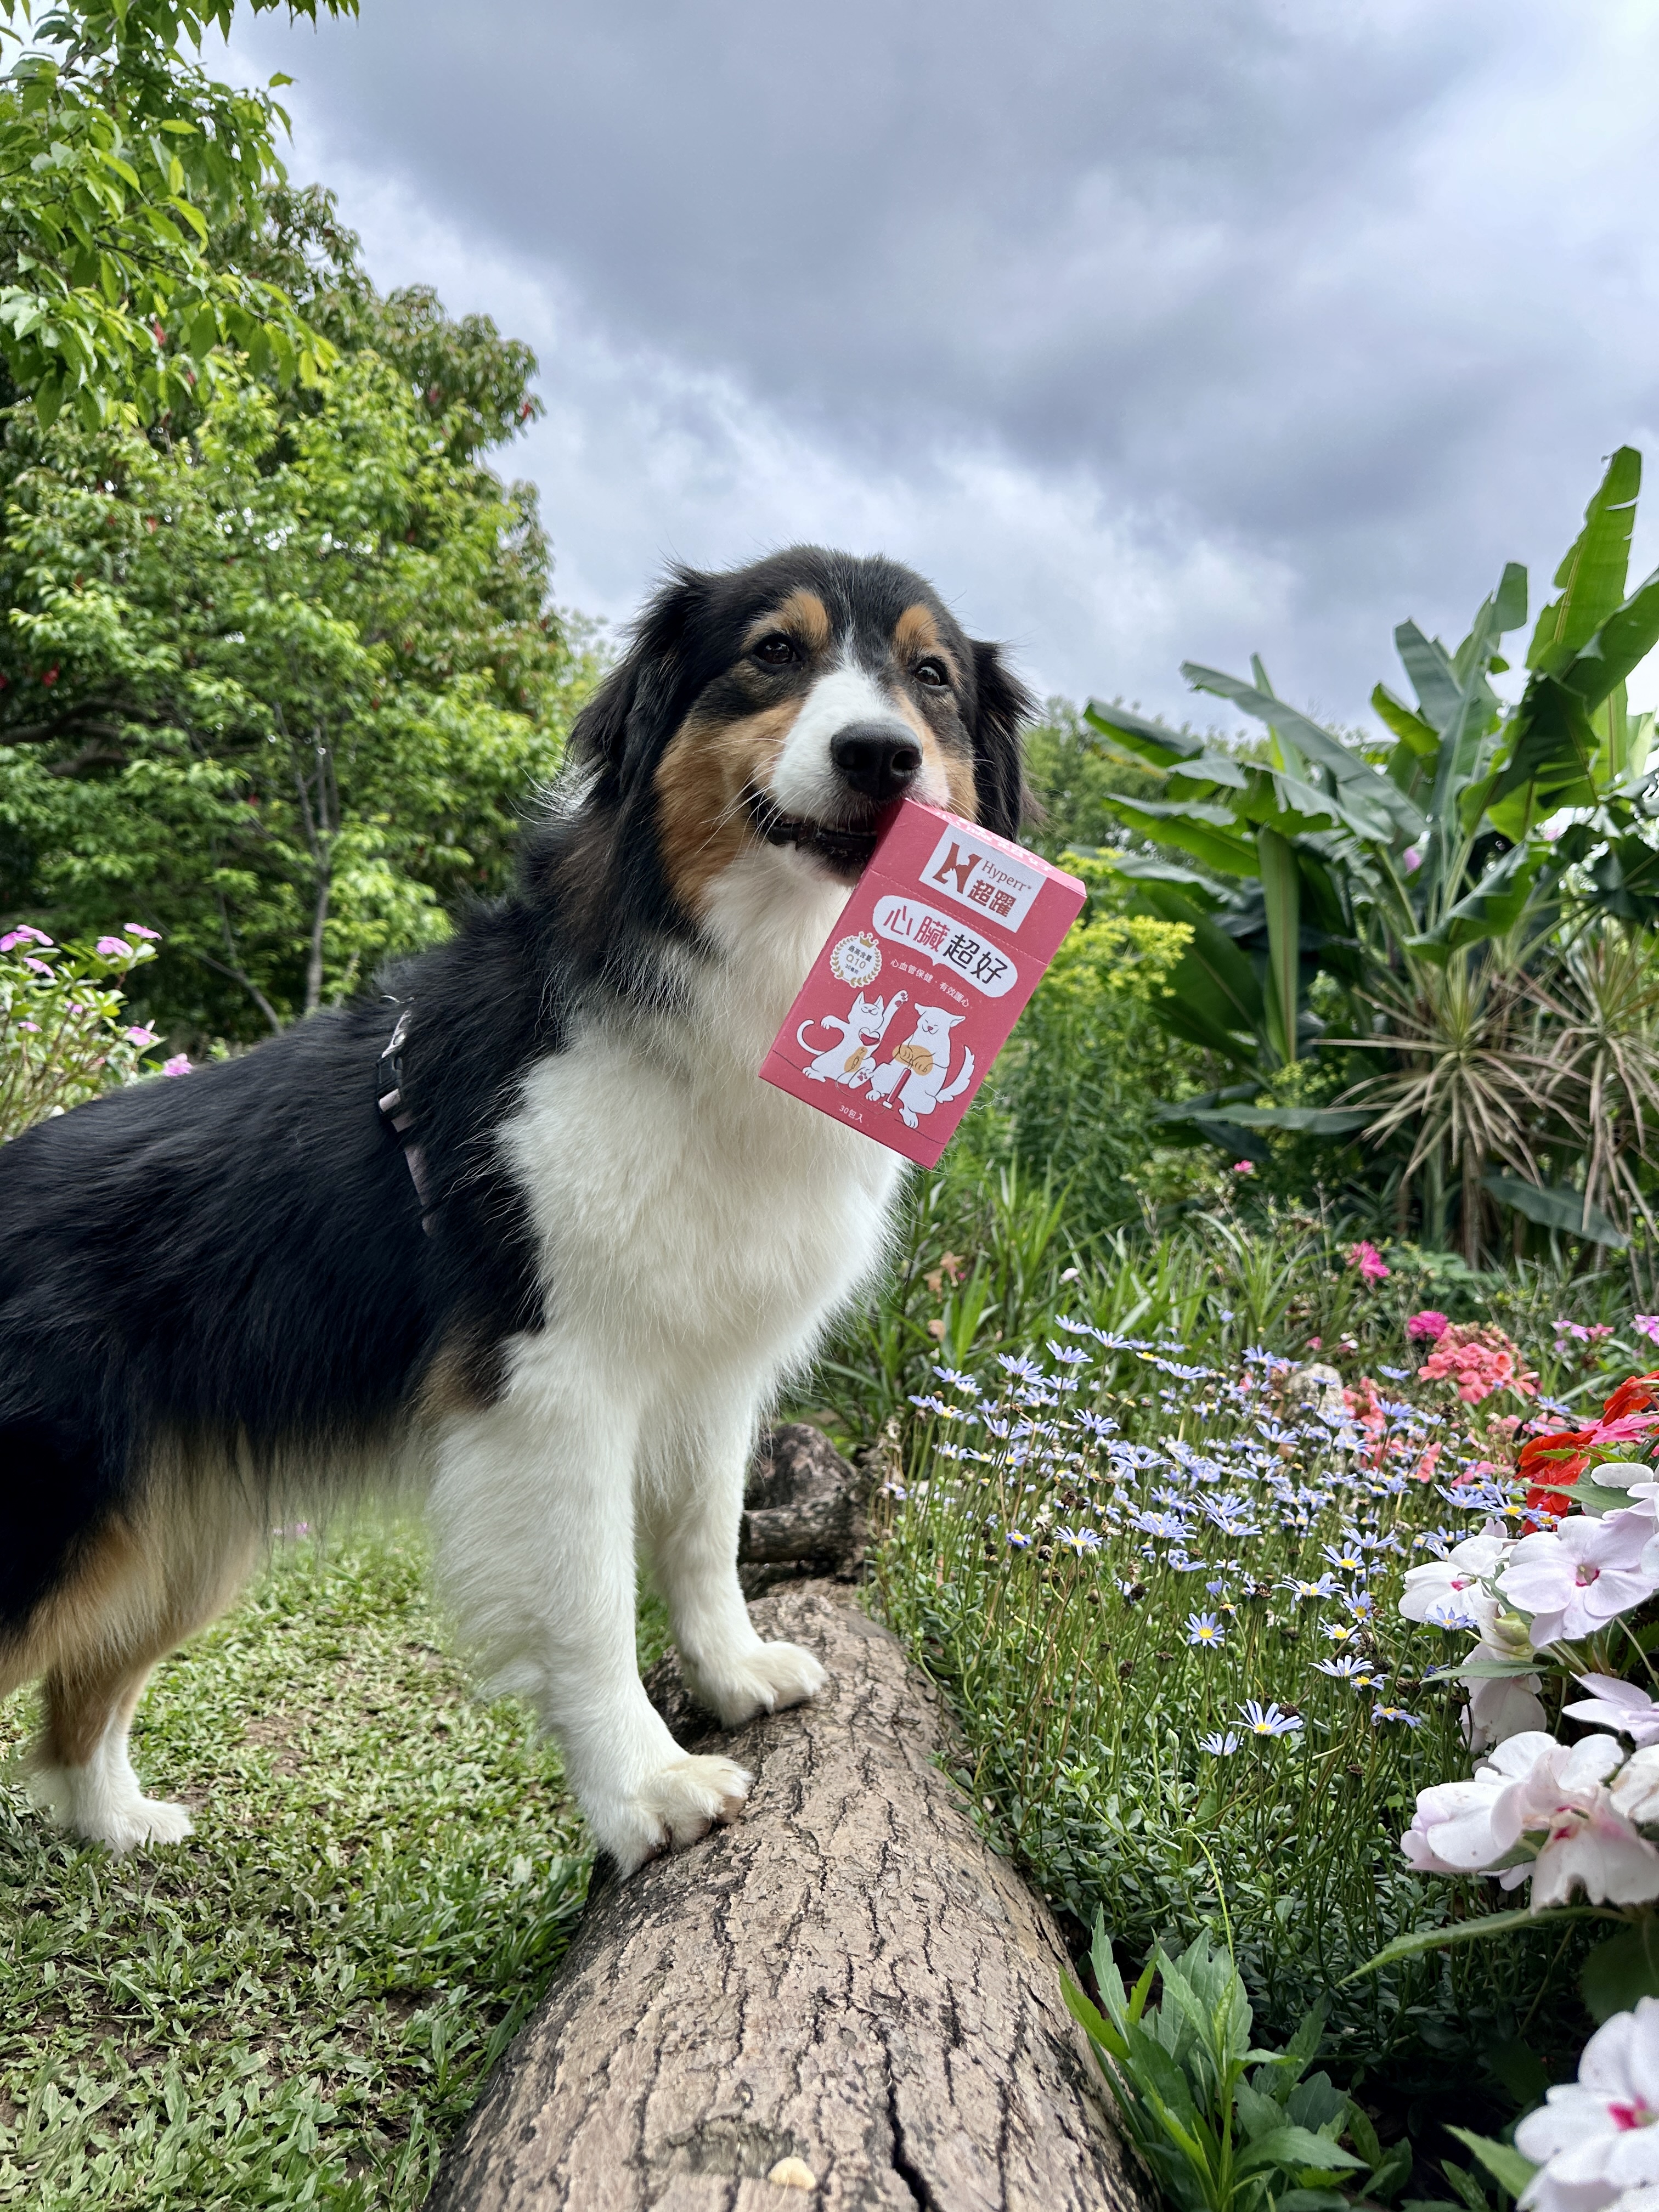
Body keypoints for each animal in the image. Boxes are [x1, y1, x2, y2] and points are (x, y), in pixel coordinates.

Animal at [0, 547, 1029, 1873]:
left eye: (931, 676)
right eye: (772, 654)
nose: (880, 756)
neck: (728, 975)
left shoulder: (711, 1365)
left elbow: (703, 1534)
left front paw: (732, 1672)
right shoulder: (551, 1384)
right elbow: (588, 1602)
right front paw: (645, 1787)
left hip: (171, 1540)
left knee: (82, 1688)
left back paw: (112, 1818)